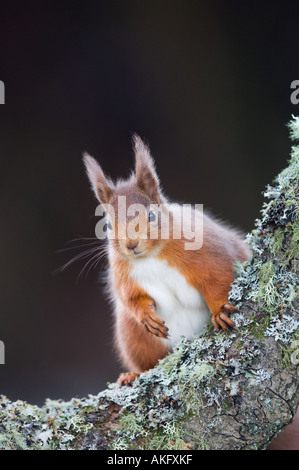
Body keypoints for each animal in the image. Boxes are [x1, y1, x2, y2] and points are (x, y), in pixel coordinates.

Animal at [83, 136, 252, 386]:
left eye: (151, 216)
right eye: (108, 226)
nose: (131, 245)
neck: (151, 256)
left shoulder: (209, 253)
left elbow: (218, 278)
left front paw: (220, 310)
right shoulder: (123, 274)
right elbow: (131, 298)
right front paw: (146, 315)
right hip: (134, 337)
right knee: (148, 363)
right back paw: (132, 375)